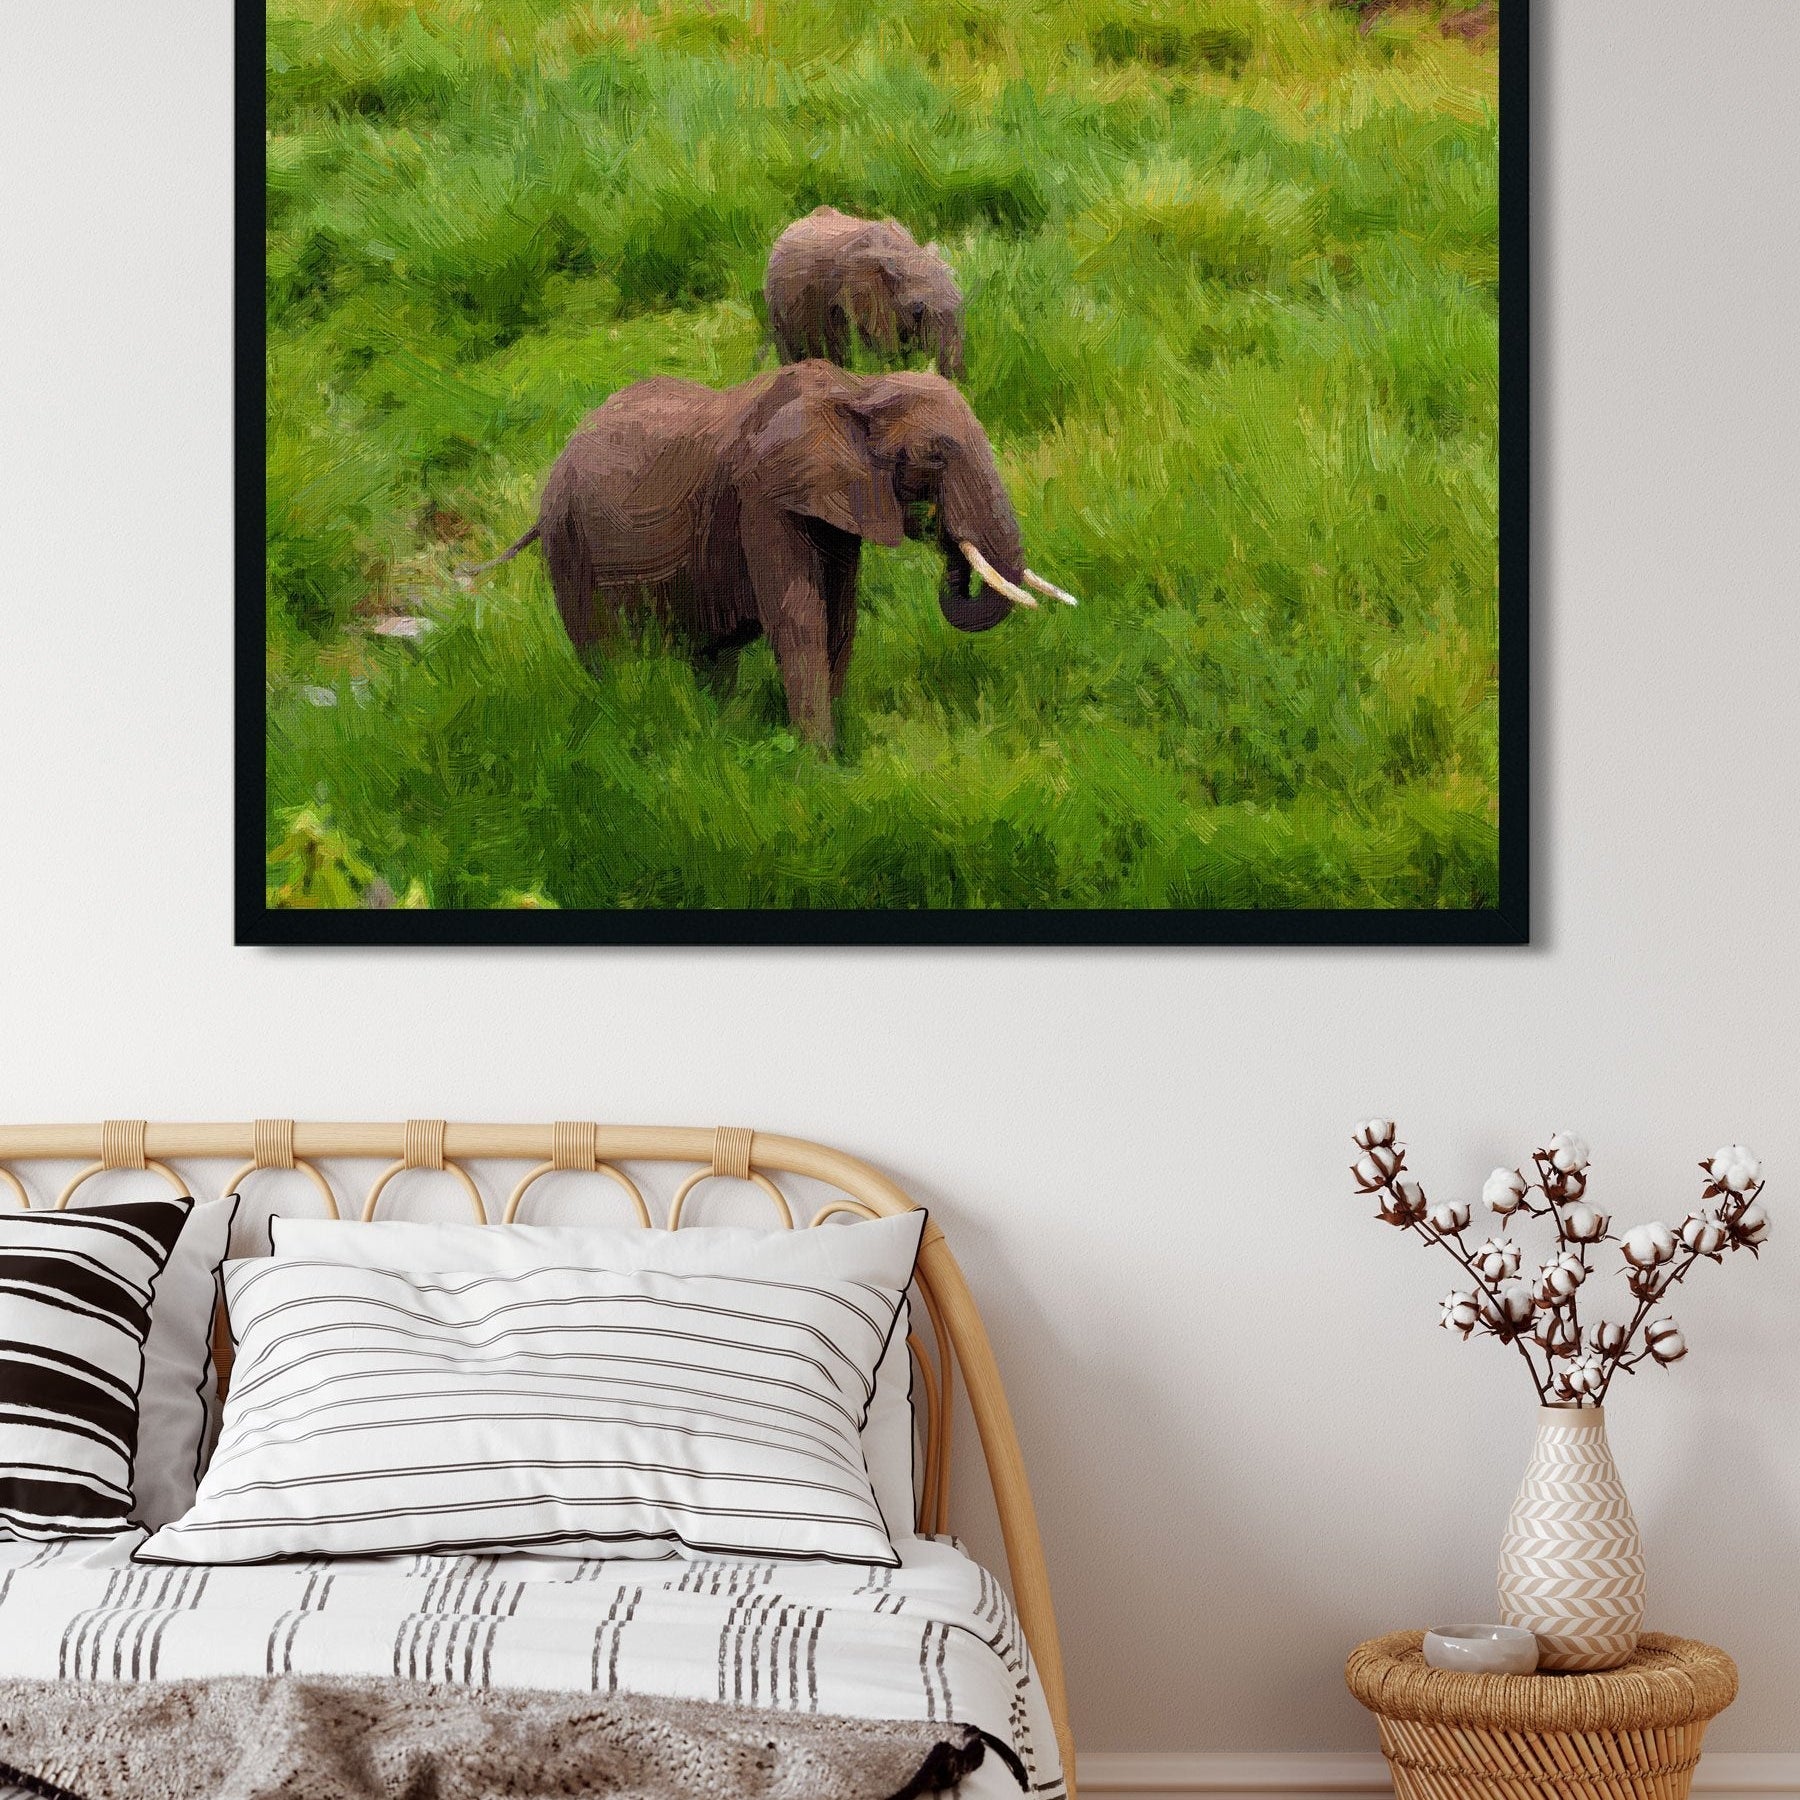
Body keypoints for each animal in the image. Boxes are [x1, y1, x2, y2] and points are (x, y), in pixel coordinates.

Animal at [469, 361, 1076, 750]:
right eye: (934, 455)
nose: (938, 531)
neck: (857, 388)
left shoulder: (835, 502)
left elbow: (839, 617)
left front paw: (836, 752)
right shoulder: (761, 497)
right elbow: (800, 617)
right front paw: (819, 767)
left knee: (710, 657)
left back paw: (716, 730)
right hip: (568, 542)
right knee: (604, 655)